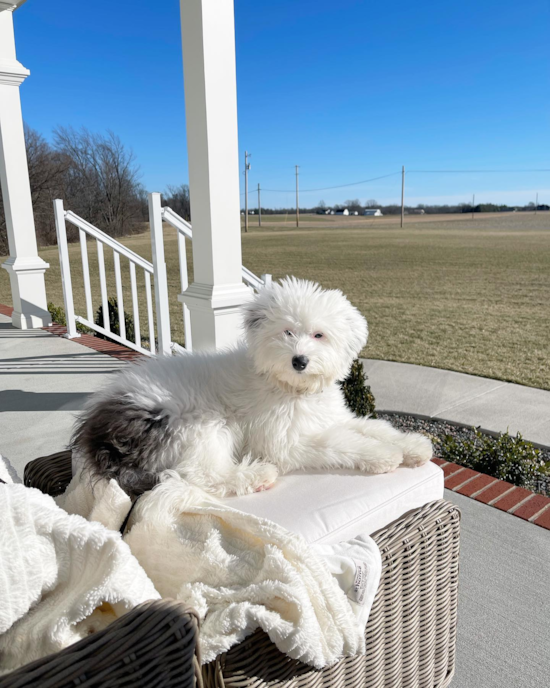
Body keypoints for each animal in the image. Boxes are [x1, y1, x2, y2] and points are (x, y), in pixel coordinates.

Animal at [74, 276, 436, 498]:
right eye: (286, 332)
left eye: (319, 334)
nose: (299, 360)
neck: (290, 388)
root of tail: (99, 437)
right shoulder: (284, 443)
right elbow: (341, 443)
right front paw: (384, 455)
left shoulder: (332, 417)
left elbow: (371, 427)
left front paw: (412, 446)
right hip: (196, 425)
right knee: (195, 476)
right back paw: (257, 475)